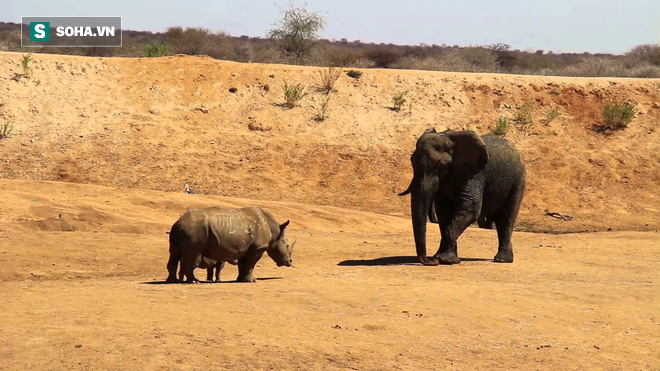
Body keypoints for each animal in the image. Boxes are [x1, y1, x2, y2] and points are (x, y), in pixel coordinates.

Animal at [166, 208, 296, 284]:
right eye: (287, 245)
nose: (290, 262)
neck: (274, 231)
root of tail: (179, 222)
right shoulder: (257, 248)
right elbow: (251, 264)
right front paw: (252, 281)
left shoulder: (244, 248)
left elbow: (243, 264)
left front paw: (241, 280)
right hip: (194, 229)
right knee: (192, 254)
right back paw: (194, 281)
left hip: (181, 229)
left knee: (174, 253)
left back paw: (172, 281)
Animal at [398, 129, 524, 266]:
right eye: (412, 161)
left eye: (439, 166)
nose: (430, 261)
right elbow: (444, 213)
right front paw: (447, 259)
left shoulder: (475, 173)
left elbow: (469, 210)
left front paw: (443, 259)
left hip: (519, 180)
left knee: (506, 218)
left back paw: (502, 260)